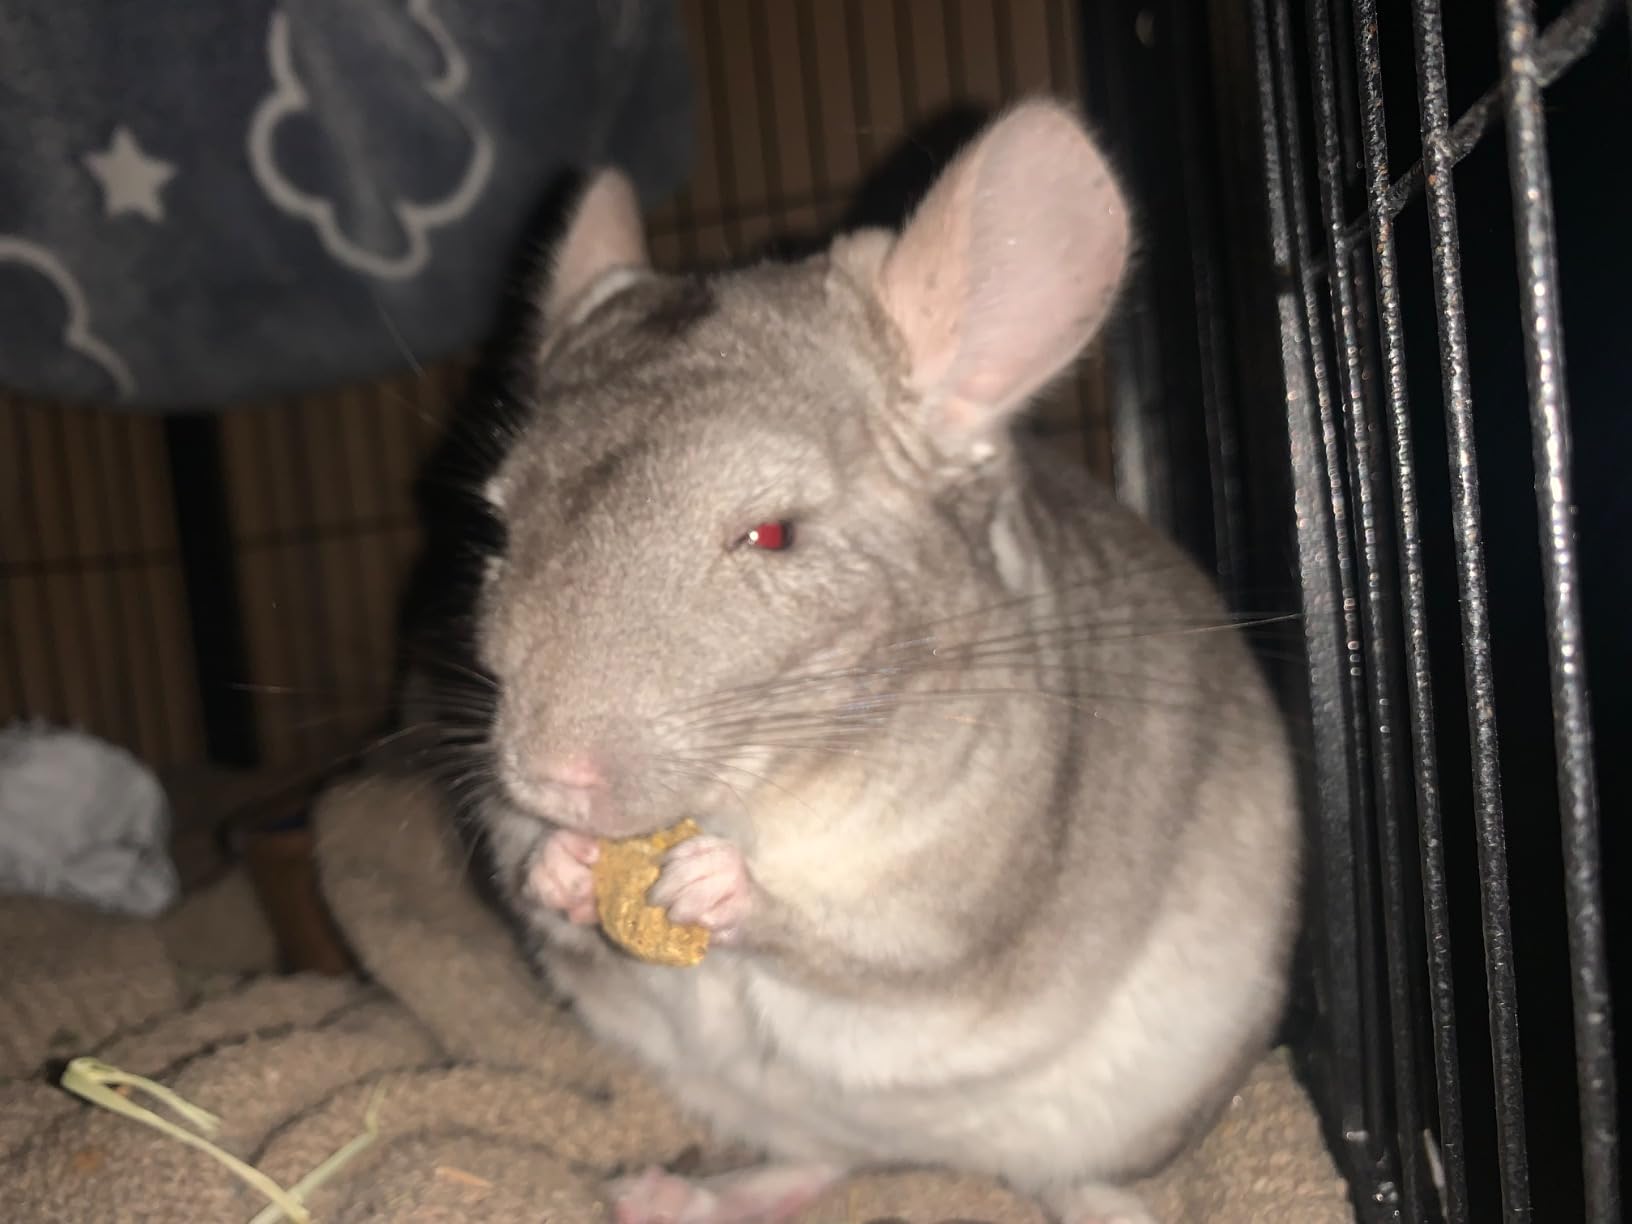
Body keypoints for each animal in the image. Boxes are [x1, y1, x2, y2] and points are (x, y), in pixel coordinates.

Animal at [457, 98, 1302, 1224]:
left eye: (773, 535)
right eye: (497, 531)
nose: (552, 778)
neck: (762, 797)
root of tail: (928, 1156)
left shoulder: (964, 882)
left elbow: (874, 948)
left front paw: (713, 886)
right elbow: (529, 879)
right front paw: (559, 864)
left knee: (1068, 1182)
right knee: (817, 1163)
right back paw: (663, 1197)